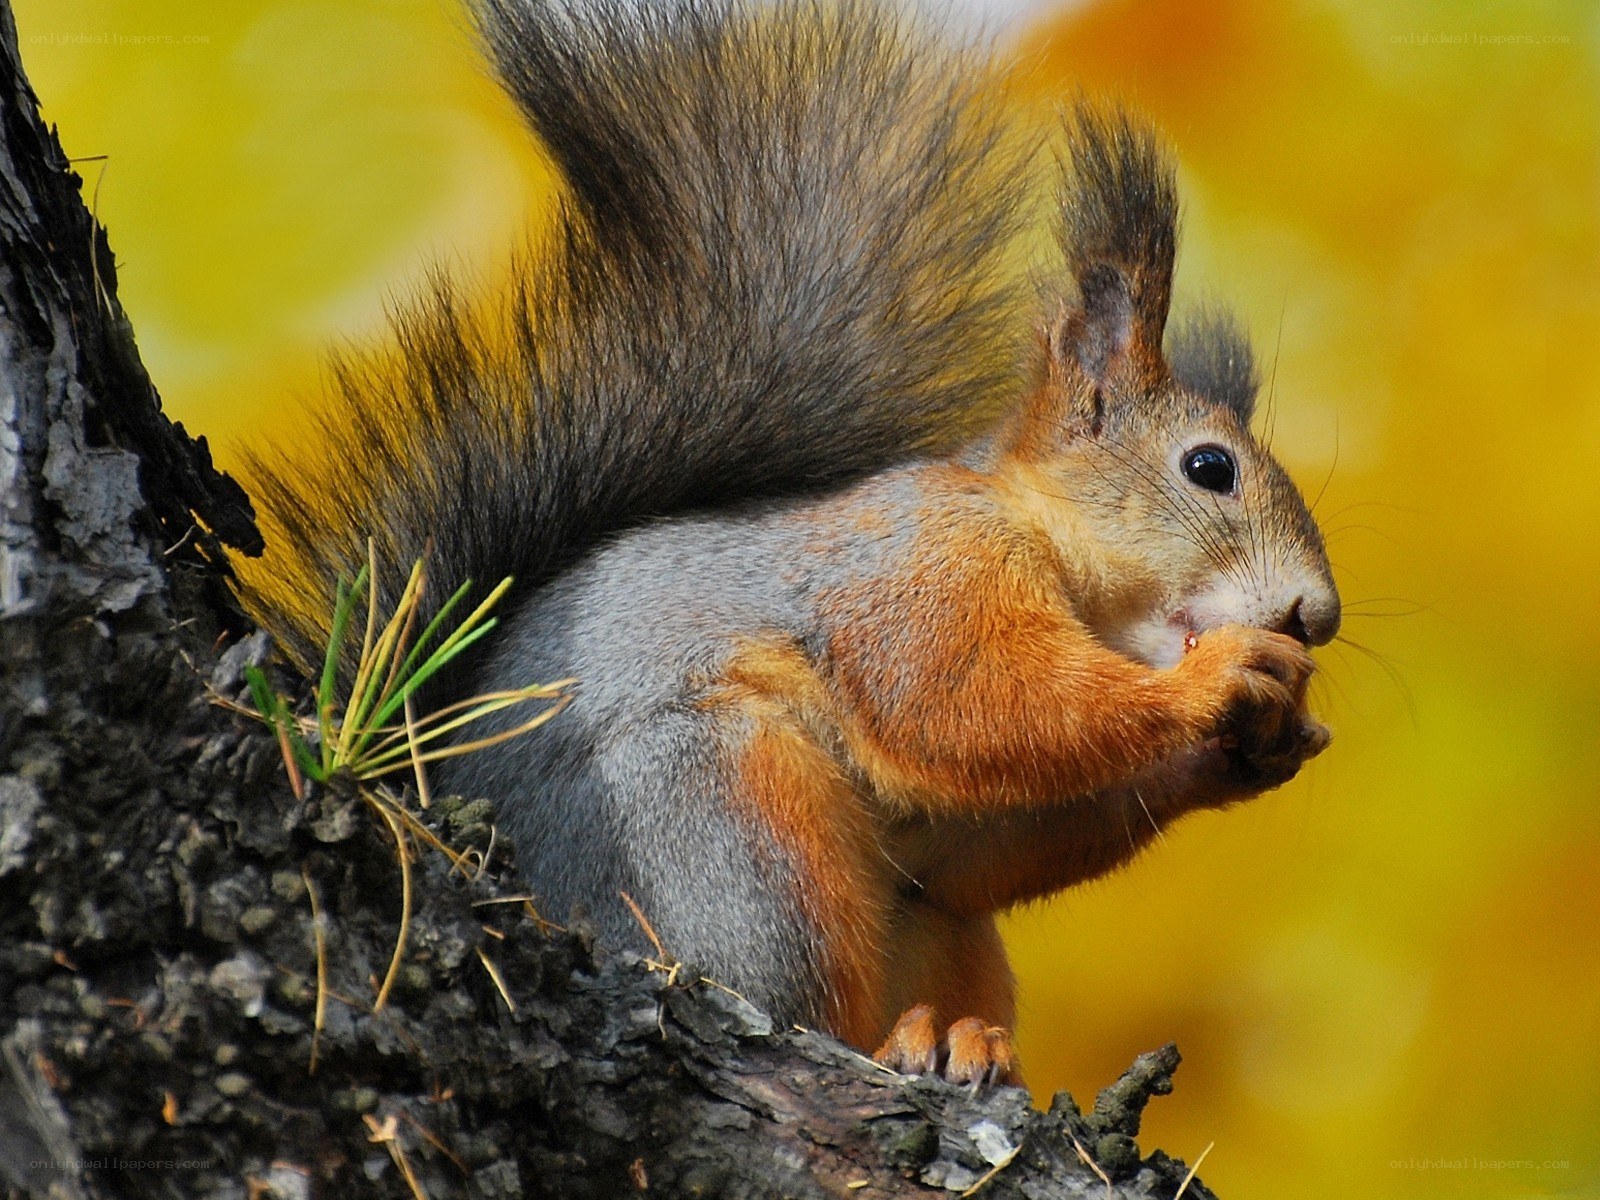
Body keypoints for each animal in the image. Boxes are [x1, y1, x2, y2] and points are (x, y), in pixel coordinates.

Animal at [236, 0, 1340, 1087]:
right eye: (1209, 468)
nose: (1315, 615)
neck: (1044, 538)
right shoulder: (919, 571)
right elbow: (974, 703)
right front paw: (1214, 684)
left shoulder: (952, 823)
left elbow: (985, 842)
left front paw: (1246, 754)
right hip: (731, 826)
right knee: (793, 993)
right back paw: (892, 1045)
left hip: (918, 922)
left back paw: (965, 1041)